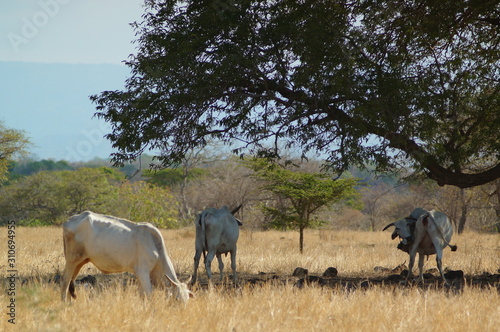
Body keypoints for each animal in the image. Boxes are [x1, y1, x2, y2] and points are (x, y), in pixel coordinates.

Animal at [59, 211, 191, 302]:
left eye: (187, 300)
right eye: (177, 299)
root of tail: (69, 220)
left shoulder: (138, 274)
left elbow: (142, 295)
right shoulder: (143, 273)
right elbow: (149, 295)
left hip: (80, 262)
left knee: (71, 282)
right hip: (71, 260)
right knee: (65, 281)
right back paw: (64, 304)